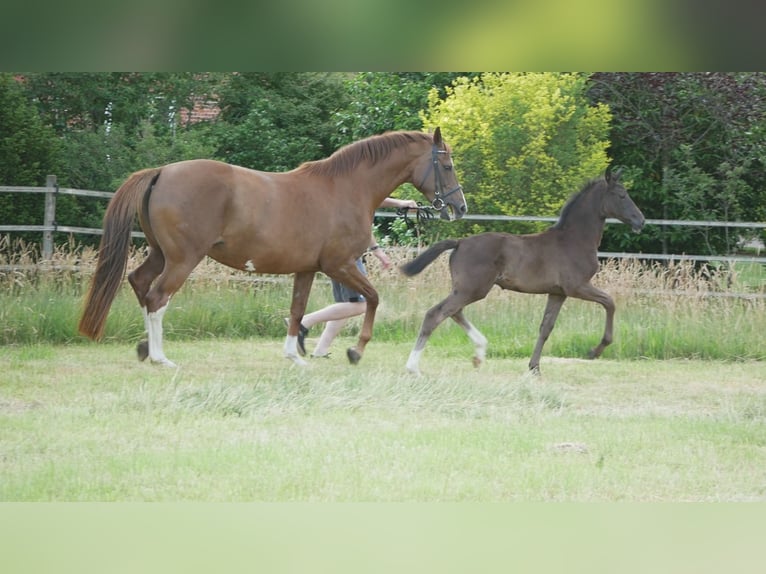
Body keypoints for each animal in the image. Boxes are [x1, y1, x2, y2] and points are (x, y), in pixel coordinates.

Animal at [78, 128, 467, 367]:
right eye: (447, 165)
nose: (458, 207)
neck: (345, 188)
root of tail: (161, 172)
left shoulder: (307, 269)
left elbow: (297, 311)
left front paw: (295, 356)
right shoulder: (339, 265)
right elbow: (372, 299)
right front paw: (355, 351)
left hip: (161, 255)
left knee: (140, 284)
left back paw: (146, 348)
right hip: (182, 259)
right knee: (158, 297)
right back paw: (161, 357)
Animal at [400, 168, 644, 375]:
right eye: (622, 195)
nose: (640, 221)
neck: (574, 240)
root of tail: (460, 243)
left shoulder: (558, 292)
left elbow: (546, 327)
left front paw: (534, 367)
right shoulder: (577, 286)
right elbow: (610, 302)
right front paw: (596, 350)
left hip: (467, 289)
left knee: (454, 312)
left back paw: (478, 354)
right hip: (473, 289)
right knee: (436, 314)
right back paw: (413, 368)